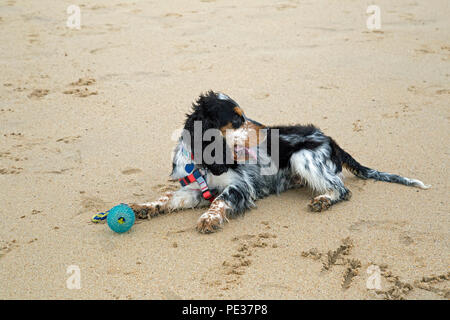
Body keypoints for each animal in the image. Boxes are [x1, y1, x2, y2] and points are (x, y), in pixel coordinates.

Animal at [129, 91, 428, 234]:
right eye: (236, 119)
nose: (266, 131)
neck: (207, 161)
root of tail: (329, 138)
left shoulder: (240, 187)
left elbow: (219, 201)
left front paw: (208, 219)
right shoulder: (195, 188)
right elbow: (168, 197)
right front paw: (143, 207)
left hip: (301, 156)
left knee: (342, 190)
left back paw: (322, 200)